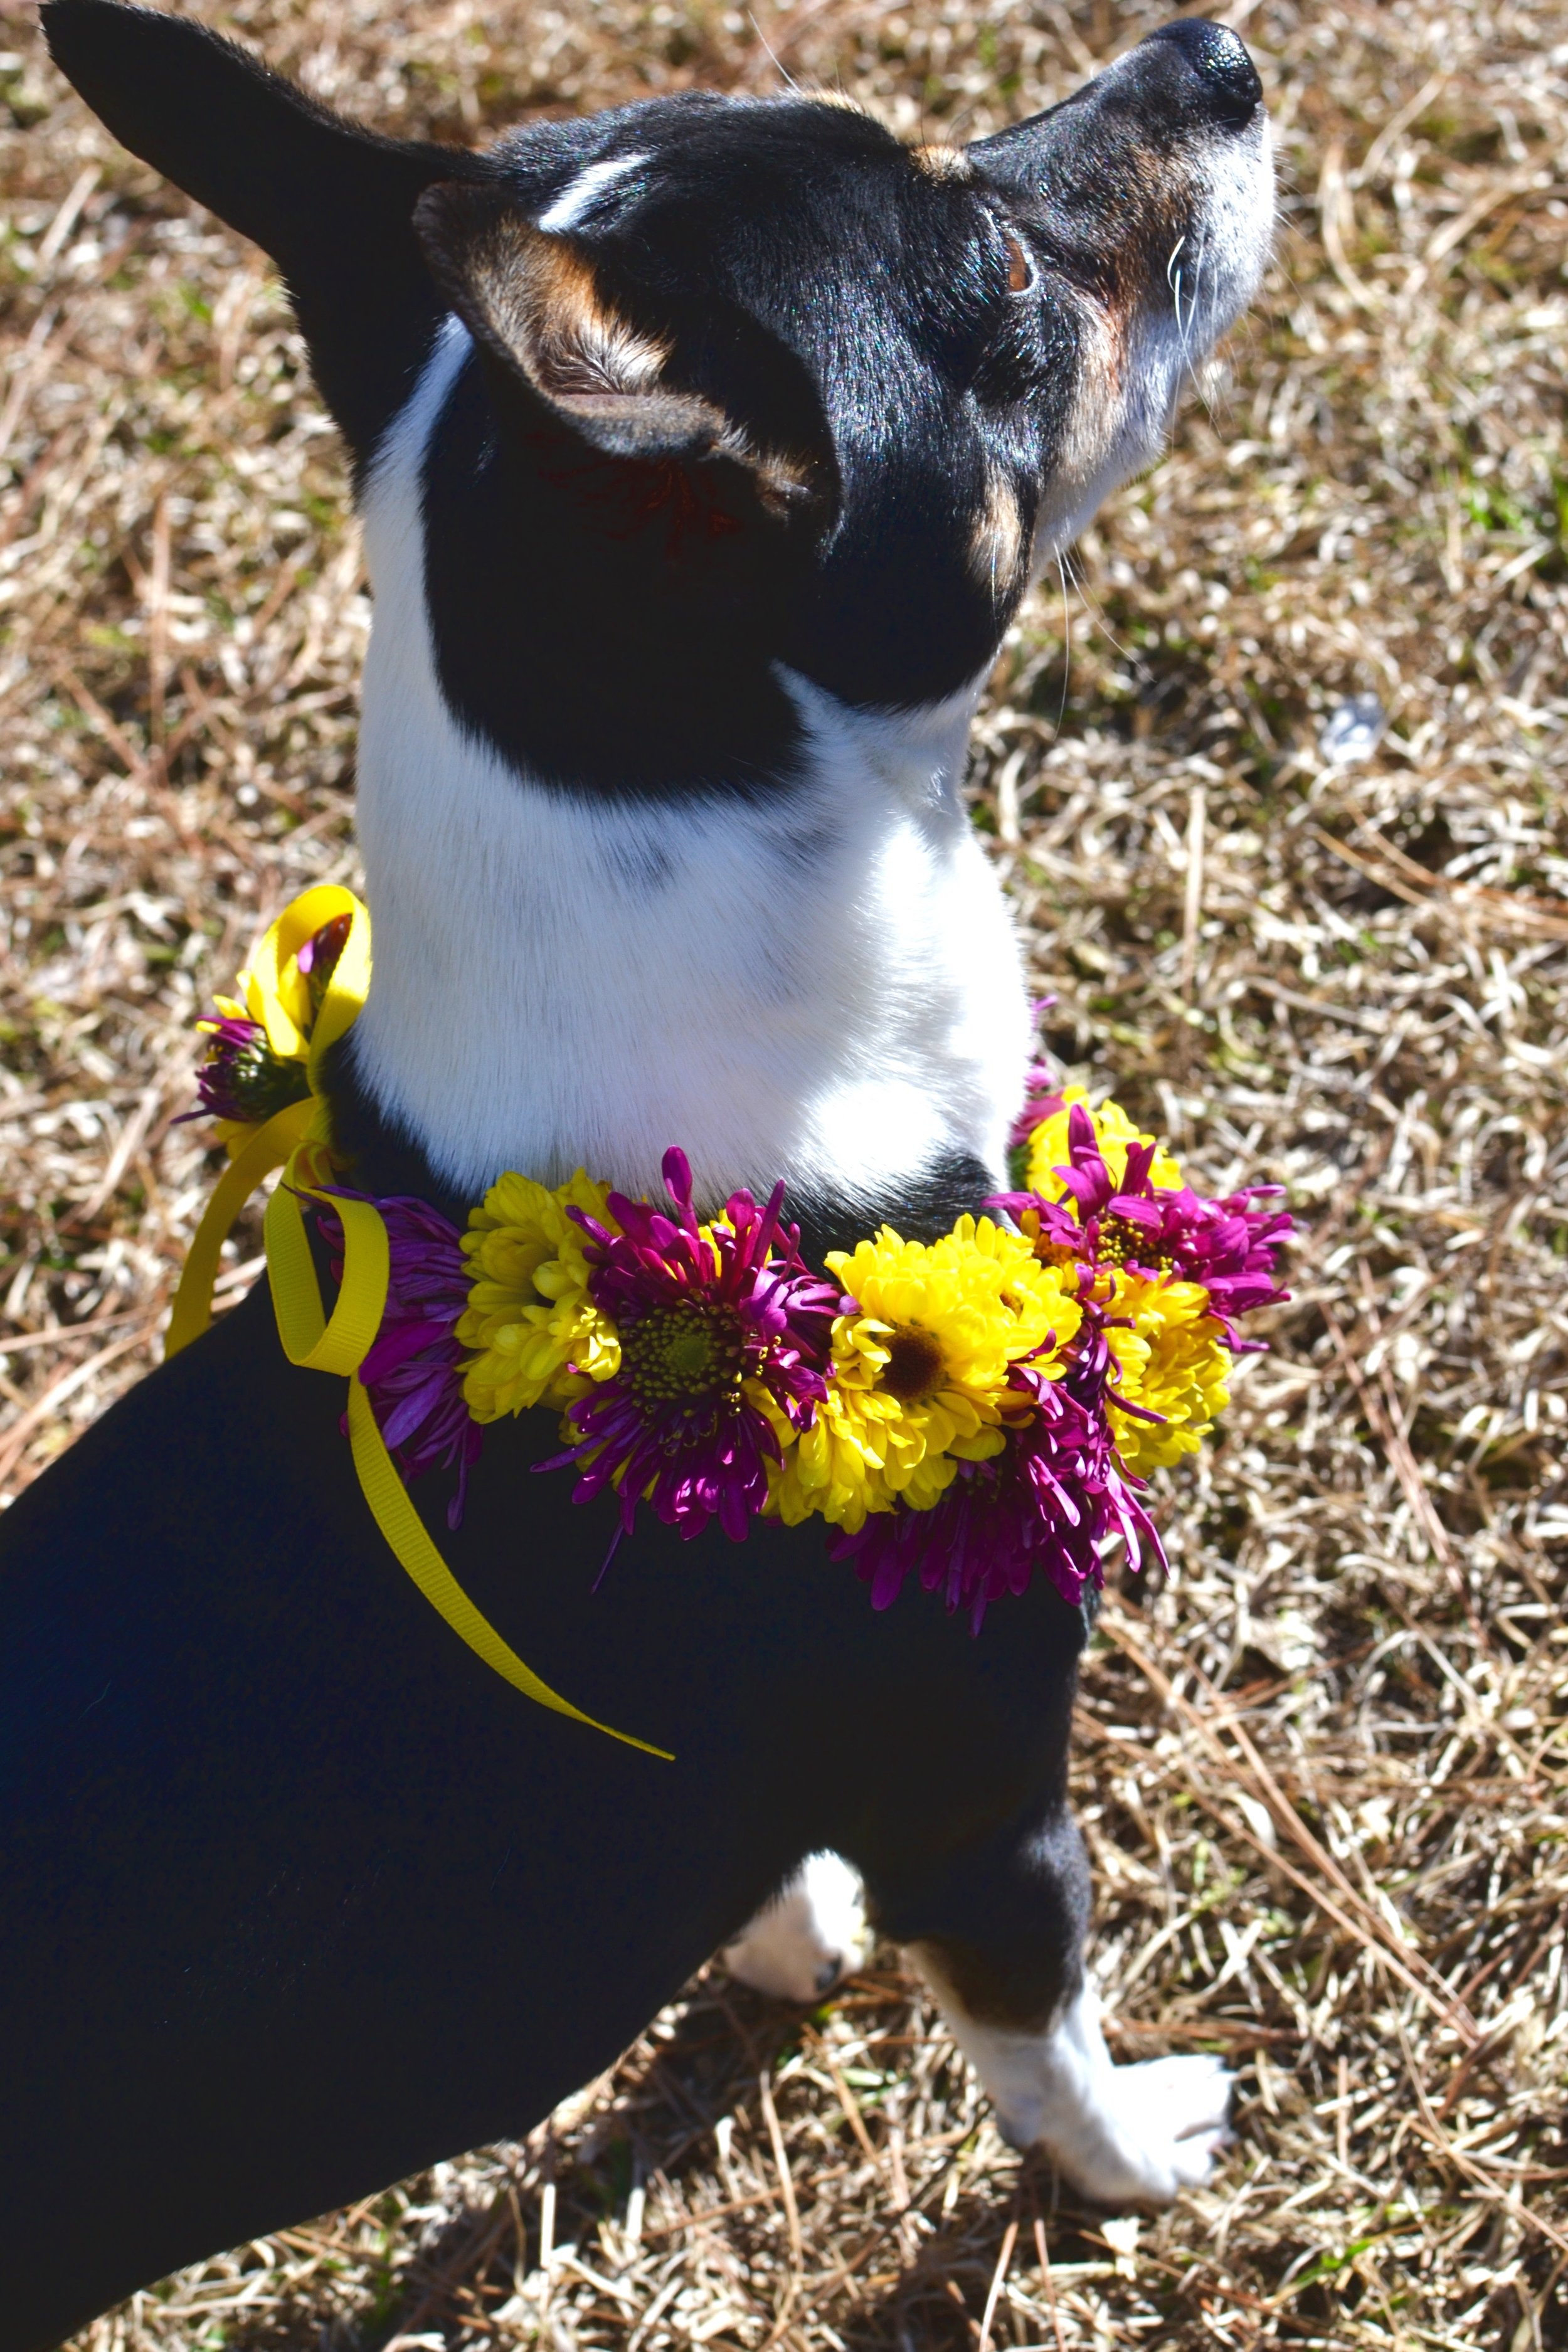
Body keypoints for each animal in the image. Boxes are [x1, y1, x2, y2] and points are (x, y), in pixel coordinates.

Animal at [0, 9, 1278, 2343]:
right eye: (994, 268)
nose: (1216, 52)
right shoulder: (983, 1788)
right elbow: (1040, 2029)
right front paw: (1135, 2163)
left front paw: (777, 1937)